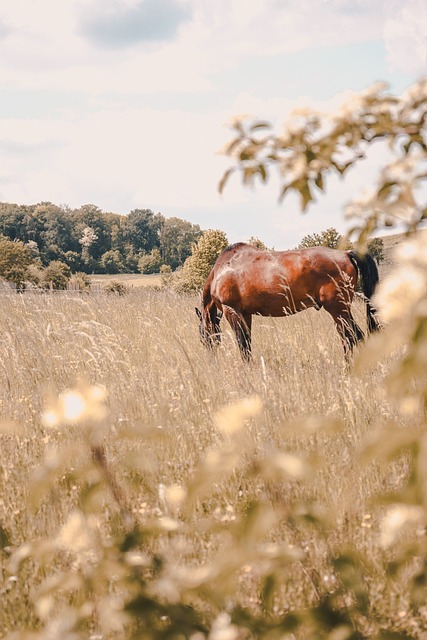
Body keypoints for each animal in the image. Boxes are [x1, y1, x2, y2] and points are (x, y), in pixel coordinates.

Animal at [196, 241, 382, 360]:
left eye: (202, 334)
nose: (210, 357)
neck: (221, 271)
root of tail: (345, 253)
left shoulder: (232, 311)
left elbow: (242, 345)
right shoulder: (245, 315)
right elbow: (247, 344)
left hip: (338, 310)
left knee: (350, 338)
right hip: (342, 311)